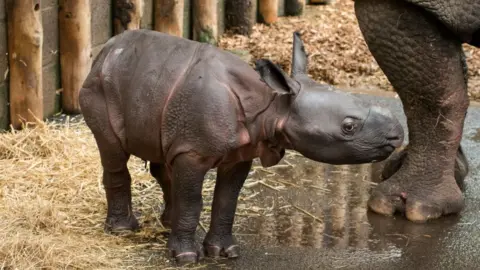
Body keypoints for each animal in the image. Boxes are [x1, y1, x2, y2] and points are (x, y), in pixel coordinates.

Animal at [79, 29, 404, 264]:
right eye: (348, 127)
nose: (397, 135)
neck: (274, 104)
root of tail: (105, 50)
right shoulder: (193, 152)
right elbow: (192, 199)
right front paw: (185, 257)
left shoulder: (239, 153)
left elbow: (227, 200)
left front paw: (225, 252)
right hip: (99, 87)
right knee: (113, 152)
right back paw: (123, 230)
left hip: (154, 90)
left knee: (163, 155)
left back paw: (167, 222)